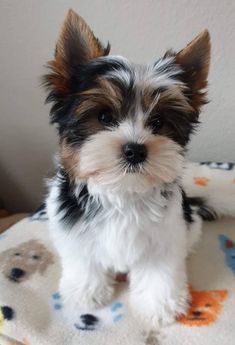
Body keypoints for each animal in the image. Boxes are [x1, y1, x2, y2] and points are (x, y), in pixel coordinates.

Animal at [44, 9, 215, 328]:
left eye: (158, 121)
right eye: (104, 116)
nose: (135, 150)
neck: (122, 193)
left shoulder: (164, 237)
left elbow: (160, 271)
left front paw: (159, 306)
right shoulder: (74, 231)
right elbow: (84, 261)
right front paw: (86, 292)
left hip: (189, 221)